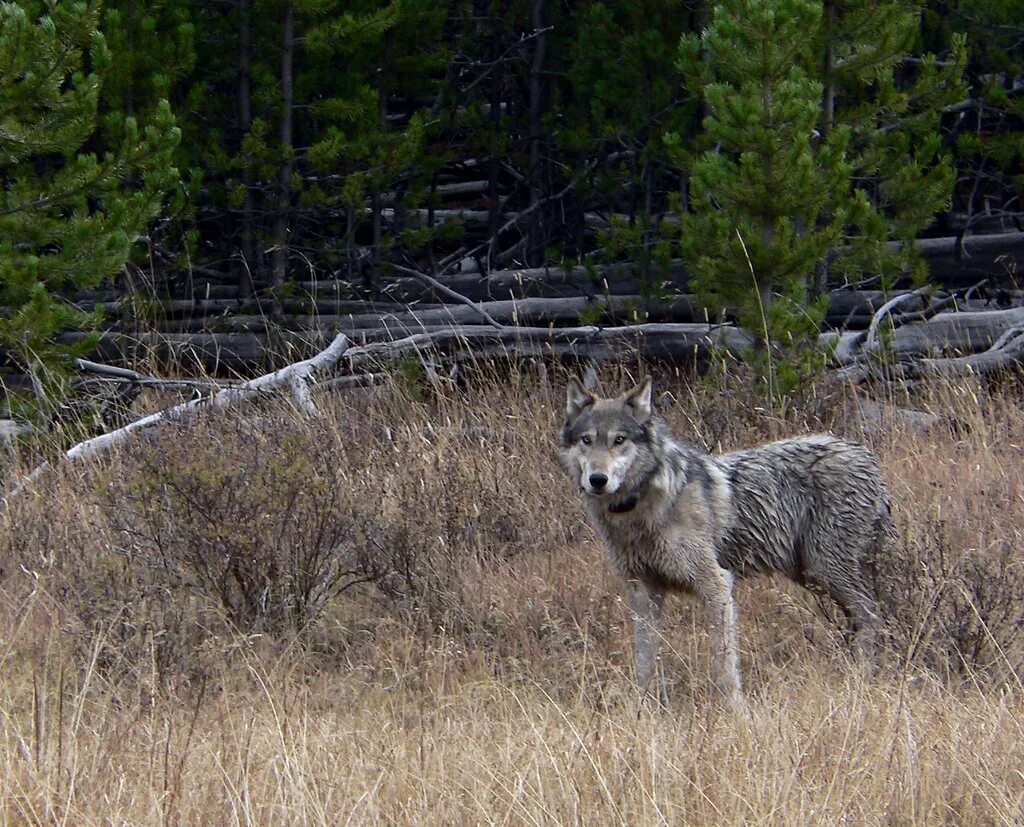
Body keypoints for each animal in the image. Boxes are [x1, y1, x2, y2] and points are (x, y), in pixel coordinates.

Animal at [557, 378, 892, 700]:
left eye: (619, 440)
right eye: (587, 440)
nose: (597, 479)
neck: (640, 510)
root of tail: (866, 456)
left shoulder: (716, 584)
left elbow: (724, 665)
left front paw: (735, 709)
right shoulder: (643, 592)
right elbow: (644, 663)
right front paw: (642, 707)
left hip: (825, 572)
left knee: (873, 618)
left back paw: (860, 678)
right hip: (812, 575)